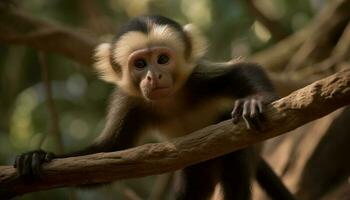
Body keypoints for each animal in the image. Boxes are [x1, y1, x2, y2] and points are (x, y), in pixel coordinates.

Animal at [13, 14, 294, 199]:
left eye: (162, 59)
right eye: (140, 64)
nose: (153, 76)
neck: (171, 102)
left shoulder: (196, 77)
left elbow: (244, 70)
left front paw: (256, 99)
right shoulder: (130, 103)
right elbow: (107, 154)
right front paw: (40, 156)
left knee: (235, 162)